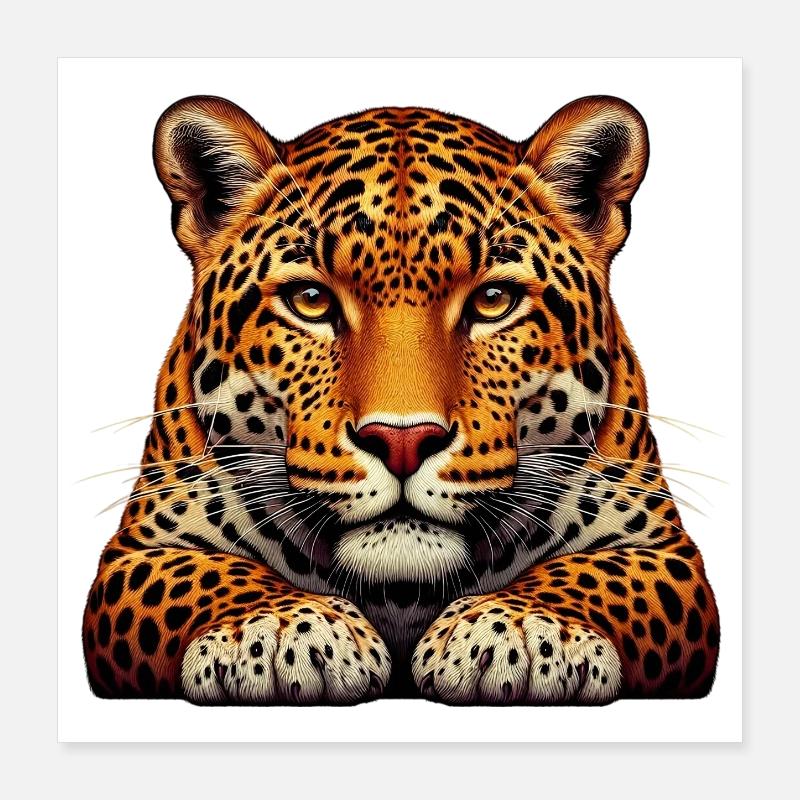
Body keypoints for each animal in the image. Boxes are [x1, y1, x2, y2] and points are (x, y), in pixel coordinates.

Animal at [82, 94, 720, 704]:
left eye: (493, 300)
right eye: (311, 299)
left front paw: (521, 629)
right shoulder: (140, 549)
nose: (404, 441)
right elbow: (205, 574)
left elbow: (596, 574)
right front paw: (278, 629)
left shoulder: (662, 549)